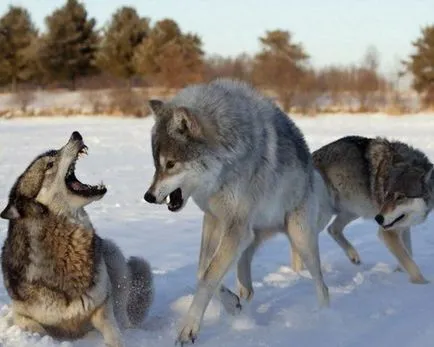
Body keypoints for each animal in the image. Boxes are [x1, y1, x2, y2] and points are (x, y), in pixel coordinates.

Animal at [0, 131, 153, 347]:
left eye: (55, 151)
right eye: (49, 164)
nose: (75, 134)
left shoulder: (102, 305)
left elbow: (113, 333)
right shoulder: (21, 316)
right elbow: (37, 329)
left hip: (112, 253)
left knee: (123, 317)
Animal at [144, 78, 330, 346]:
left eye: (170, 164)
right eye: (156, 166)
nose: (148, 196)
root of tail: (311, 168)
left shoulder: (234, 227)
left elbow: (208, 276)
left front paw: (188, 329)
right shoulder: (214, 219)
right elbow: (202, 270)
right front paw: (231, 303)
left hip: (299, 238)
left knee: (322, 285)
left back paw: (325, 318)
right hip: (248, 240)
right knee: (248, 286)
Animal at [306, 136, 432, 286]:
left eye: (400, 197)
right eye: (386, 194)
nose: (378, 218)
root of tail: (311, 156)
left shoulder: (403, 227)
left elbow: (408, 254)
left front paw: (399, 272)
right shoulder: (387, 232)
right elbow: (410, 263)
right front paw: (422, 285)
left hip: (352, 211)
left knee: (332, 229)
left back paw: (353, 256)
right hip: (324, 215)